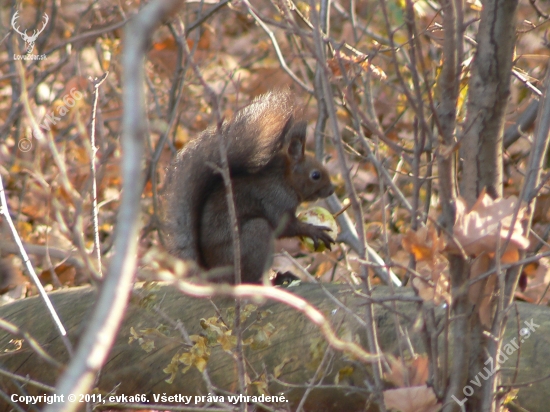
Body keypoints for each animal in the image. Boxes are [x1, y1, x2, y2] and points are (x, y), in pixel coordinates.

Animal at [163, 90, 336, 284]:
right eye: (315, 175)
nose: (332, 189)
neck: (284, 181)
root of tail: (215, 277)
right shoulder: (275, 200)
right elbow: (285, 226)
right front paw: (313, 230)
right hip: (256, 234)